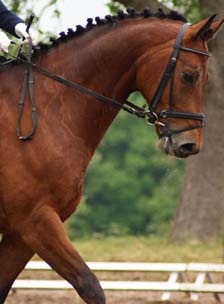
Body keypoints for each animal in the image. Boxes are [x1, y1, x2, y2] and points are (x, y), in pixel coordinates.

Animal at [0, 6, 223, 304]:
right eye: (189, 75)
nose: (189, 145)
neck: (46, 109)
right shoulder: (35, 220)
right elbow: (89, 284)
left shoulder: (20, 233)